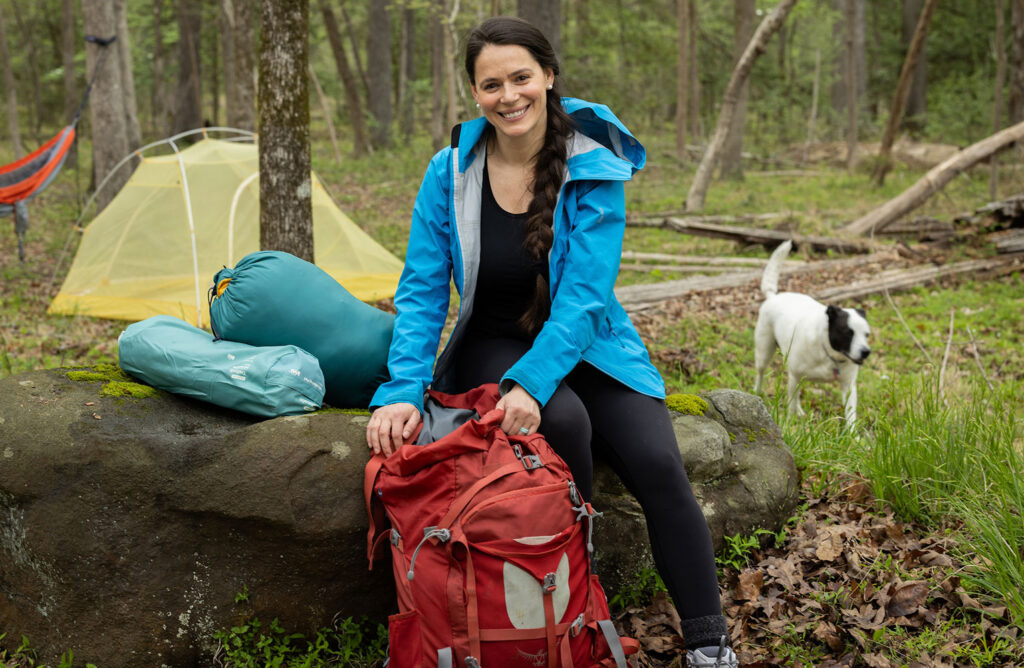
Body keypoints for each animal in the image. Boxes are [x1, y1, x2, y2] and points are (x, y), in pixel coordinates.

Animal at [753, 242, 872, 426]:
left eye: (866, 334)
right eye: (848, 332)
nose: (866, 352)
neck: (828, 353)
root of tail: (773, 297)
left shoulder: (848, 386)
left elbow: (850, 415)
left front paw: (852, 433)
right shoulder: (795, 375)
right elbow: (791, 404)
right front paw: (790, 423)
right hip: (764, 350)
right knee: (760, 371)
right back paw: (757, 392)